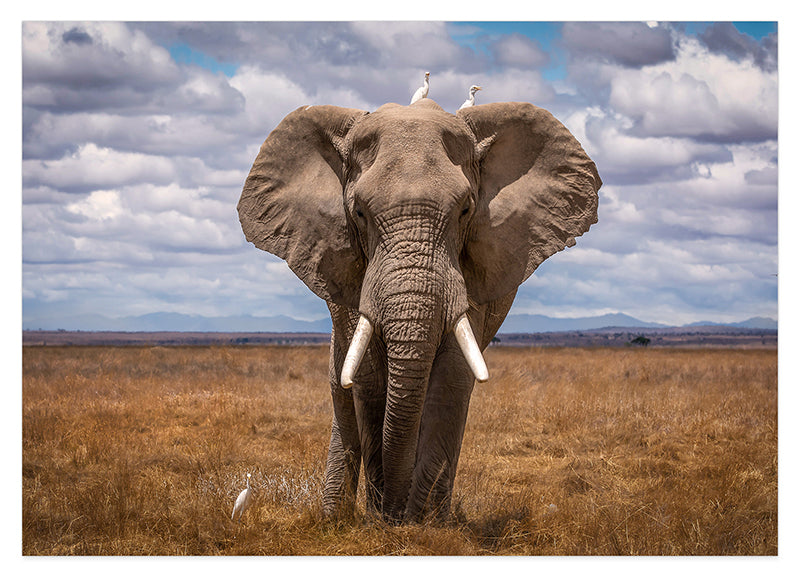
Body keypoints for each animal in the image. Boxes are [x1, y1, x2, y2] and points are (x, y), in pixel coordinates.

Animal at [237, 98, 601, 524]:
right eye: (358, 213)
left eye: (466, 210)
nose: (394, 514)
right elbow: (368, 379)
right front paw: (384, 520)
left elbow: (452, 377)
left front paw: (424, 525)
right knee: (341, 388)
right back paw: (334, 518)